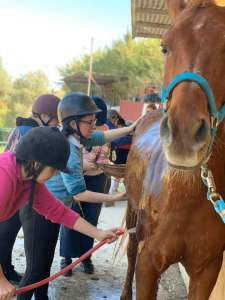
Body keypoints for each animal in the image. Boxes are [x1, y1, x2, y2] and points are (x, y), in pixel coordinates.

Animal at [122, 1, 225, 298]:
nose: (184, 137)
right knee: (130, 254)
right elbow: (138, 262)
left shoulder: (207, 271)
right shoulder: (148, 262)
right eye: (164, 47)